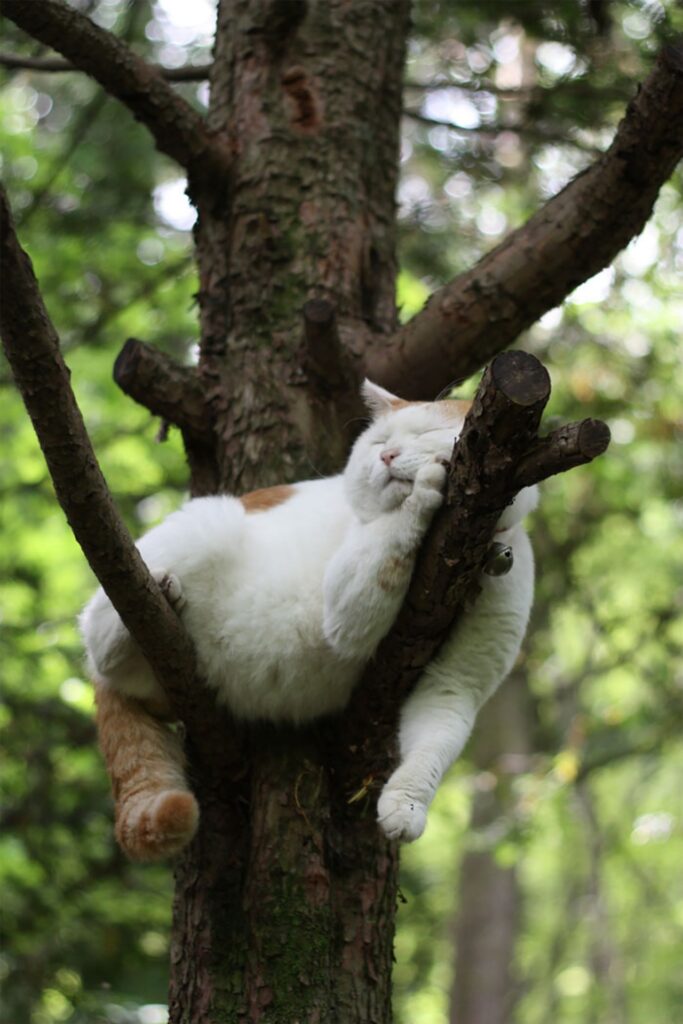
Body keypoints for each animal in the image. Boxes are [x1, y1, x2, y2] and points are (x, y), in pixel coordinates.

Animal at [80, 380, 540, 860]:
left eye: (424, 433)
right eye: (380, 441)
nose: (388, 456)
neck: (466, 554)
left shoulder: (455, 684)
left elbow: (433, 746)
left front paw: (406, 806)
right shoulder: (345, 612)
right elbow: (395, 535)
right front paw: (422, 495)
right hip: (204, 526)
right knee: (100, 629)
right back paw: (159, 591)